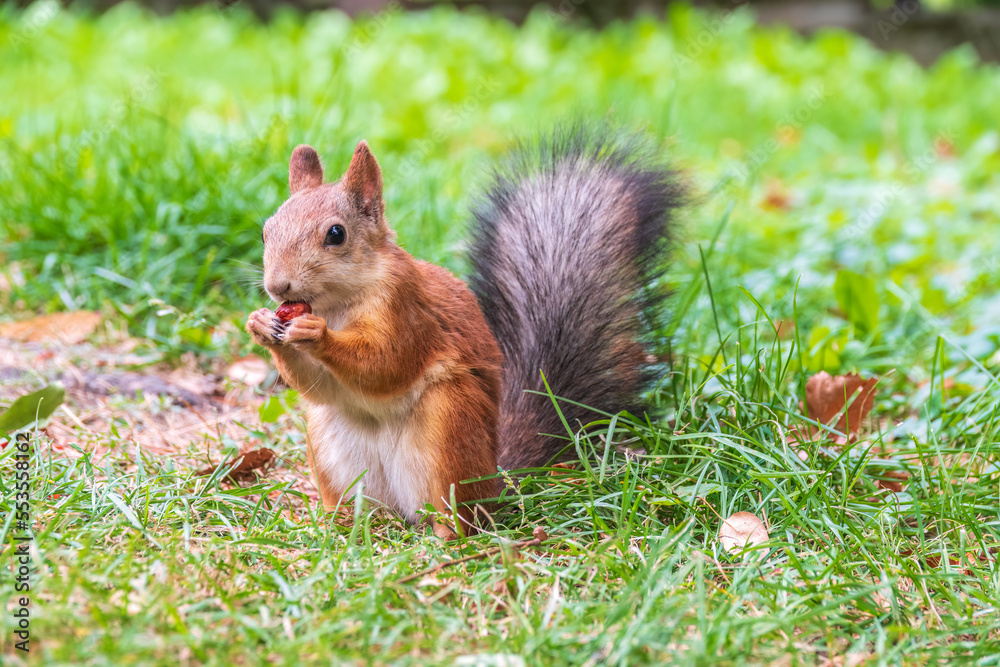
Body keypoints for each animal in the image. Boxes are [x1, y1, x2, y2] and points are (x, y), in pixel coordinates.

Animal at [246, 126, 683, 539]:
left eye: (336, 234)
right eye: (266, 230)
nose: (278, 286)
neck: (336, 303)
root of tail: (495, 477)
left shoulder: (406, 311)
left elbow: (385, 363)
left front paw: (316, 334)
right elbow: (316, 386)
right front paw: (260, 325)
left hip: (449, 426)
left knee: (459, 514)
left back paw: (444, 537)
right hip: (332, 449)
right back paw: (339, 526)